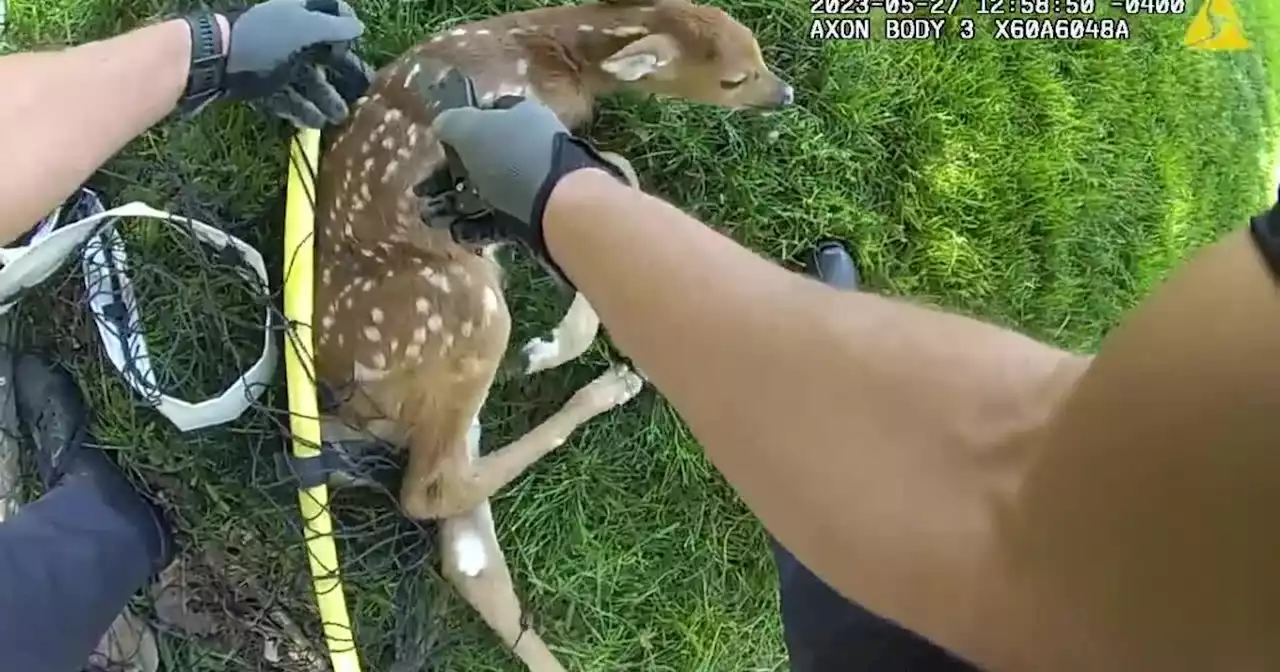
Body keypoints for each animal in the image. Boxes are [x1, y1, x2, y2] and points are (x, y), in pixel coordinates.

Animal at [309, 2, 788, 665]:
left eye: (759, 49)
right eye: (734, 79)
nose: (785, 94)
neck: (546, 51)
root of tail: (345, 400)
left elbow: (612, 176)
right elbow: (616, 178)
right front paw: (556, 343)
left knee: (467, 551)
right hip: (467, 308)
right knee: (431, 491)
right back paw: (595, 378)